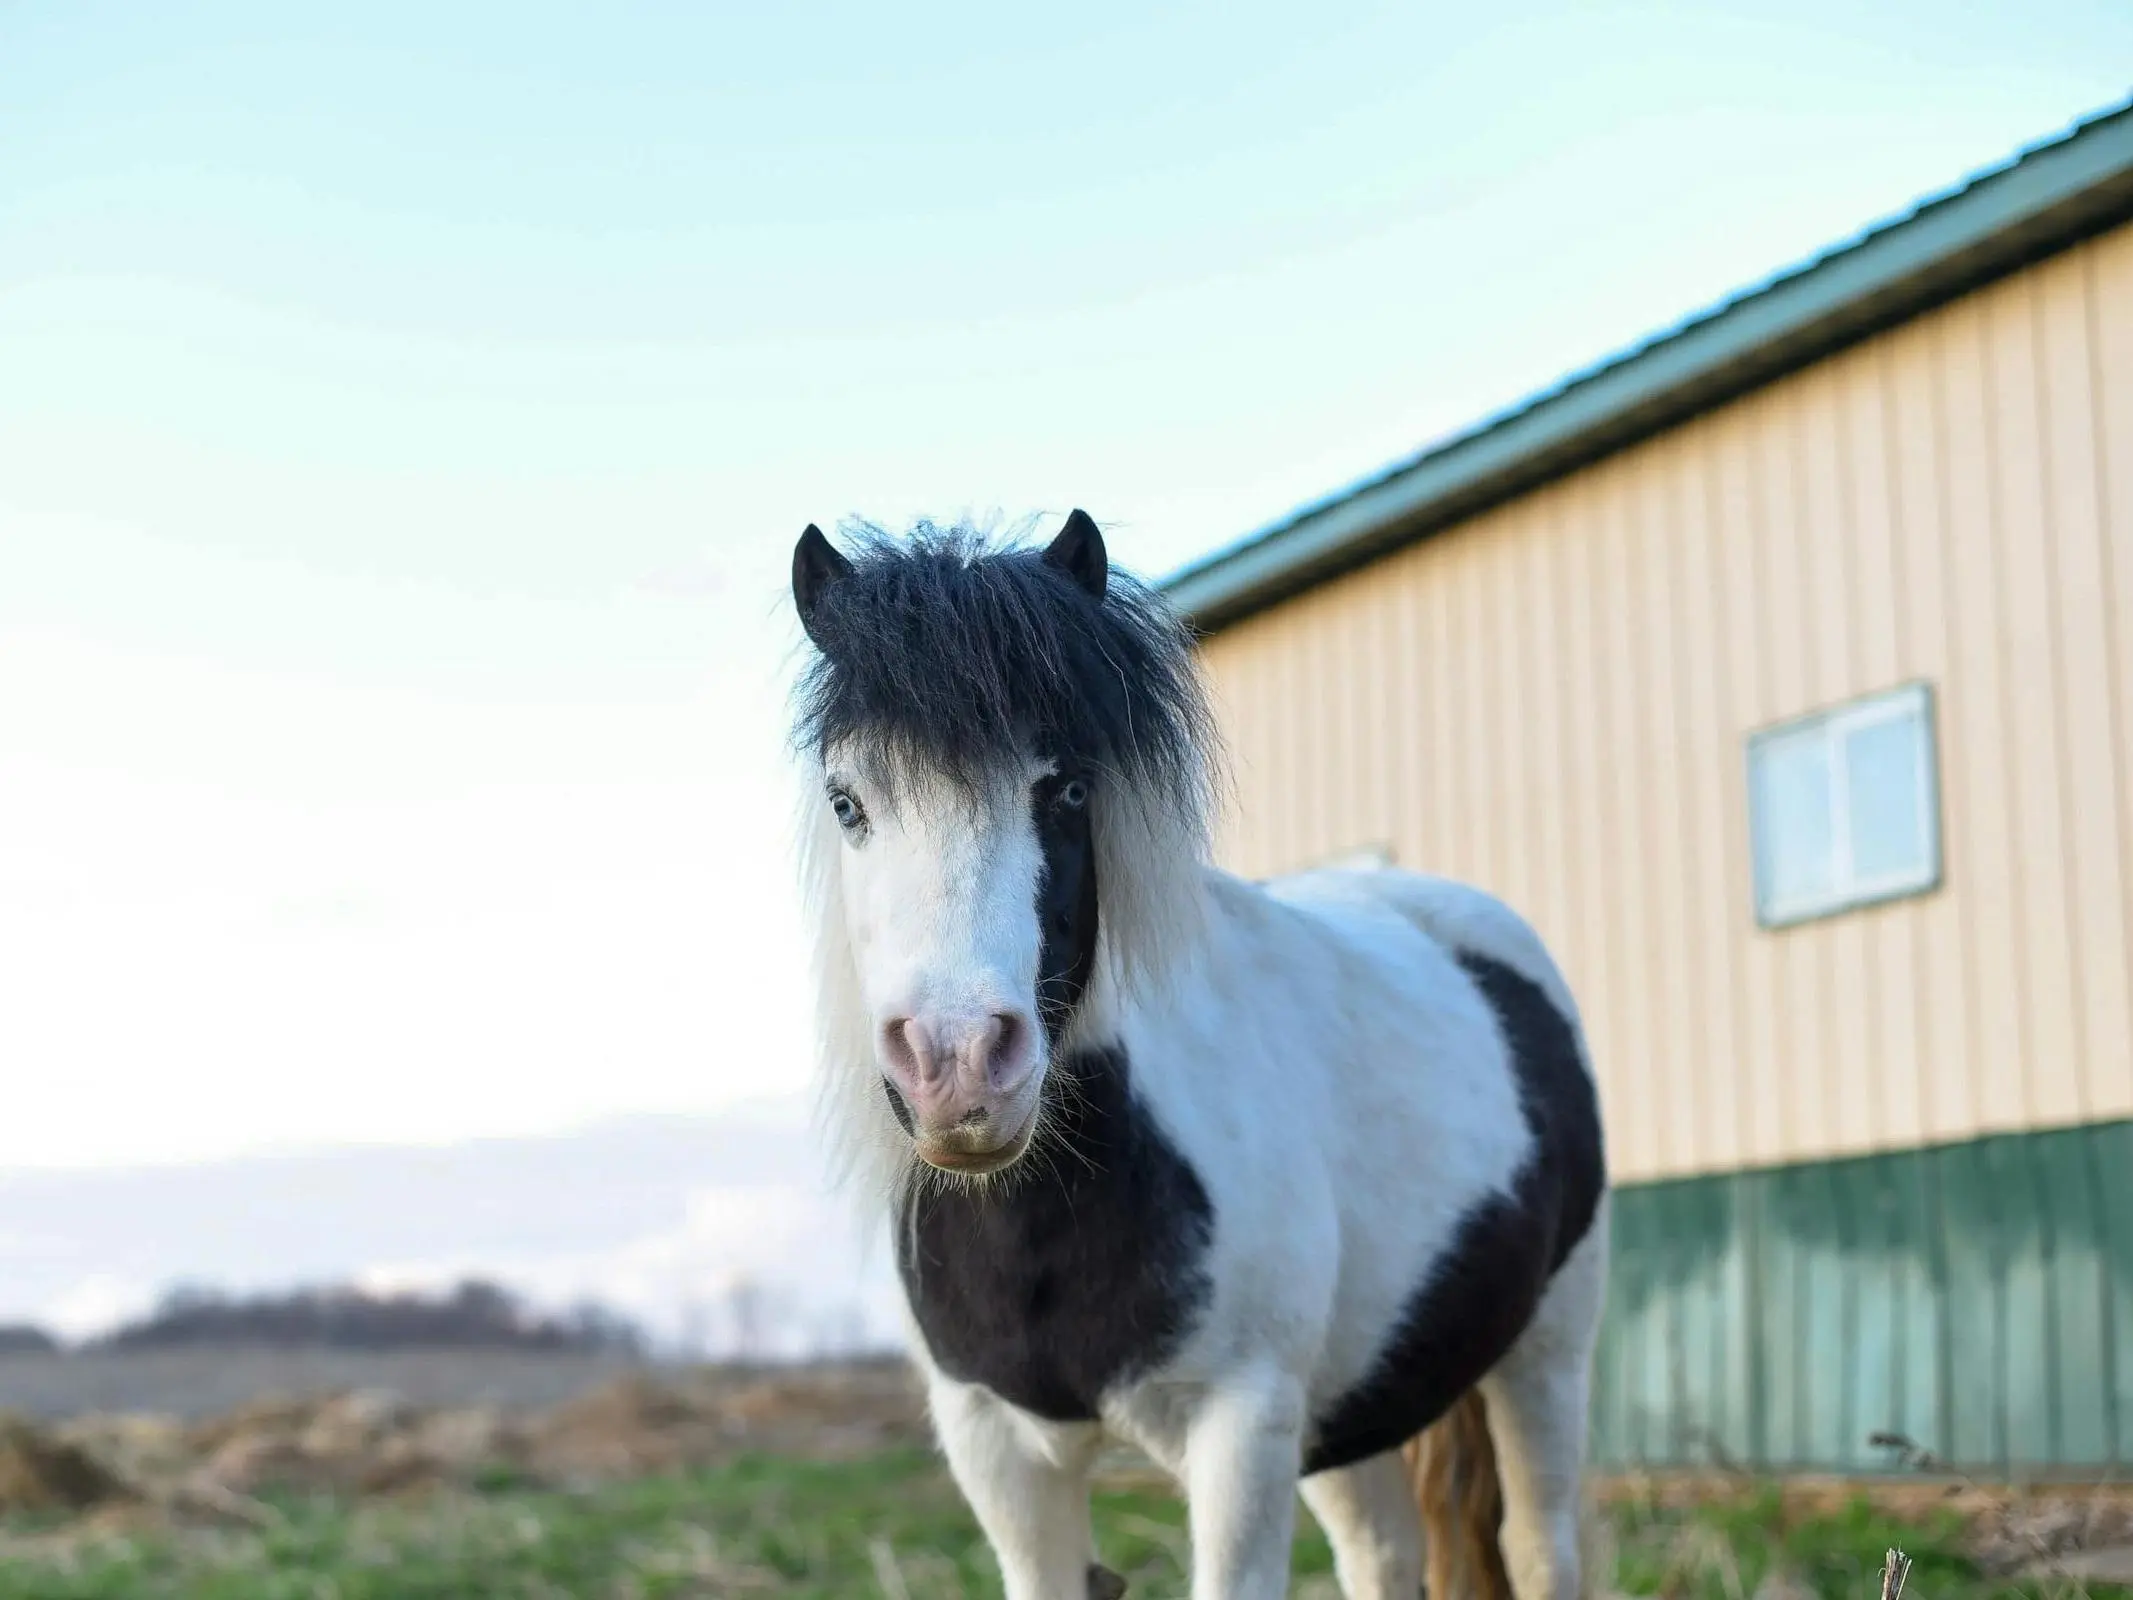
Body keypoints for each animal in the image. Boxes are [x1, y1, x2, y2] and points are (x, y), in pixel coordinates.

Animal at [793, 516, 1604, 1600]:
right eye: (847, 802)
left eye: (1068, 787)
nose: (958, 1067)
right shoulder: (998, 1452)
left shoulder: (1241, 1430)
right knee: (1384, 1553)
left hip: (1546, 1347)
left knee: (1539, 1544)